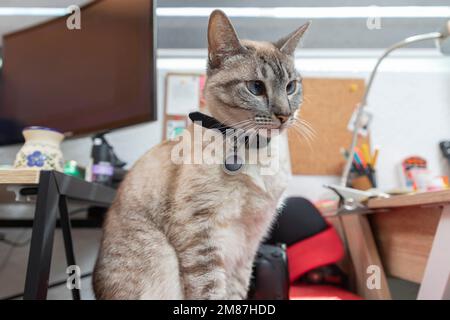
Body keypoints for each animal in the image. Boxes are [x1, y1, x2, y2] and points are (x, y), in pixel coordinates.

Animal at [91, 10, 310, 300]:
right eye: (256, 87)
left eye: (290, 87)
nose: (285, 115)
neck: (254, 148)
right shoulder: (201, 233)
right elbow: (210, 291)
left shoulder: (249, 244)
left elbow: (235, 294)